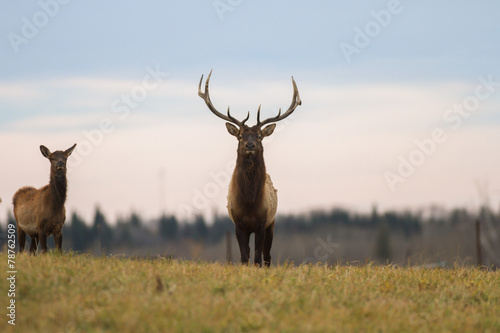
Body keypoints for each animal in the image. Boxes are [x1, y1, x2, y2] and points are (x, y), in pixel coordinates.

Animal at [198, 70, 300, 268]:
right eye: (240, 136)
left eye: (259, 136)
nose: (250, 145)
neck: (250, 204)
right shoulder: (238, 224)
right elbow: (244, 257)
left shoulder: (262, 222)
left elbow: (258, 258)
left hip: (272, 224)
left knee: (267, 256)